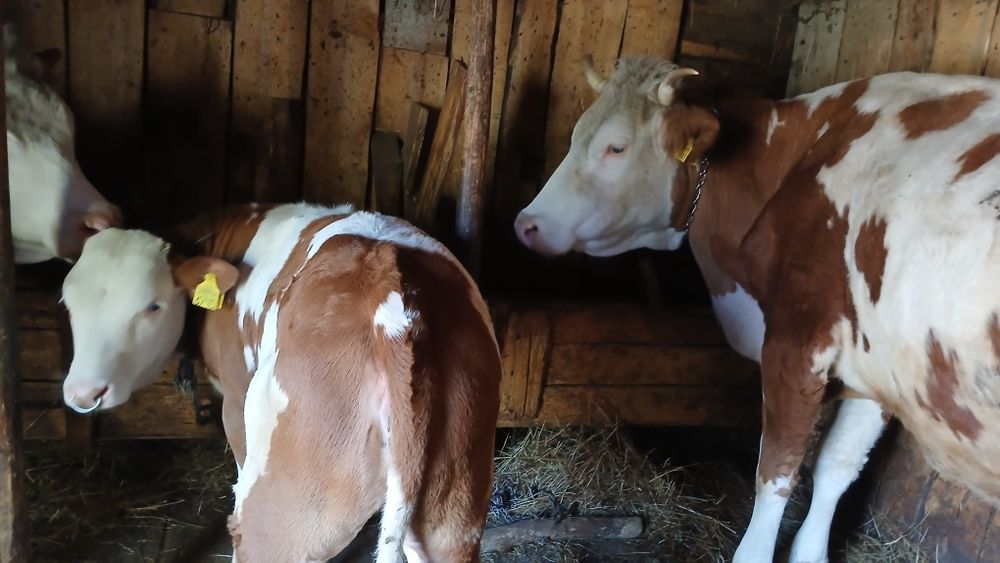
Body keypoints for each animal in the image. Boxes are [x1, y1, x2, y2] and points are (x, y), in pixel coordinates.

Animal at [60, 203, 501, 562]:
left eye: (153, 306)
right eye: (67, 302)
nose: (83, 393)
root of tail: (395, 304)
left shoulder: (235, 397)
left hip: (282, 504)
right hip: (457, 503)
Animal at [515, 57, 1000, 562]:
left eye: (616, 146)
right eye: (576, 134)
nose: (526, 224)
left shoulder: (795, 343)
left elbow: (775, 476)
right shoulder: (878, 372)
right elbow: (837, 465)